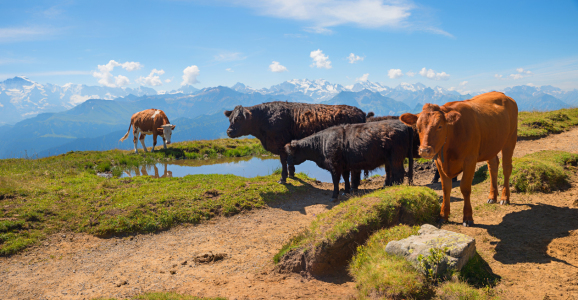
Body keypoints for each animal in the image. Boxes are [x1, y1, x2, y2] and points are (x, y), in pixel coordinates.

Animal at [223, 102, 366, 184]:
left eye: (239, 118)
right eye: (230, 119)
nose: (229, 131)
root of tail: (360, 111)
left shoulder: (281, 144)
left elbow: (283, 162)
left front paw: (283, 178)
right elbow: (289, 161)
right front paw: (292, 174)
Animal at [284, 118, 412, 200]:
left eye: (290, 153)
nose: (287, 162)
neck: (322, 143)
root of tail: (404, 125)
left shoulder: (334, 166)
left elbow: (335, 180)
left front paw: (334, 196)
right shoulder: (344, 166)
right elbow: (346, 178)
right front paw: (346, 191)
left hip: (395, 157)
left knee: (398, 173)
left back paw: (395, 186)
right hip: (391, 159)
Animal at [398, 92, 516, 226]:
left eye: (440, 126)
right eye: (417, 128)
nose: (424, 150)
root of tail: (503, 95)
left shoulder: (470, 160)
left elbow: (465, 188)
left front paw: (468, 217)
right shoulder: (439, 162)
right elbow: (445, 188)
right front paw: (443, 215)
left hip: (510, 139)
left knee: (506, 168)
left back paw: (504, 198)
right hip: (491, 145)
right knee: (493, 166)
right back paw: (492, 197)